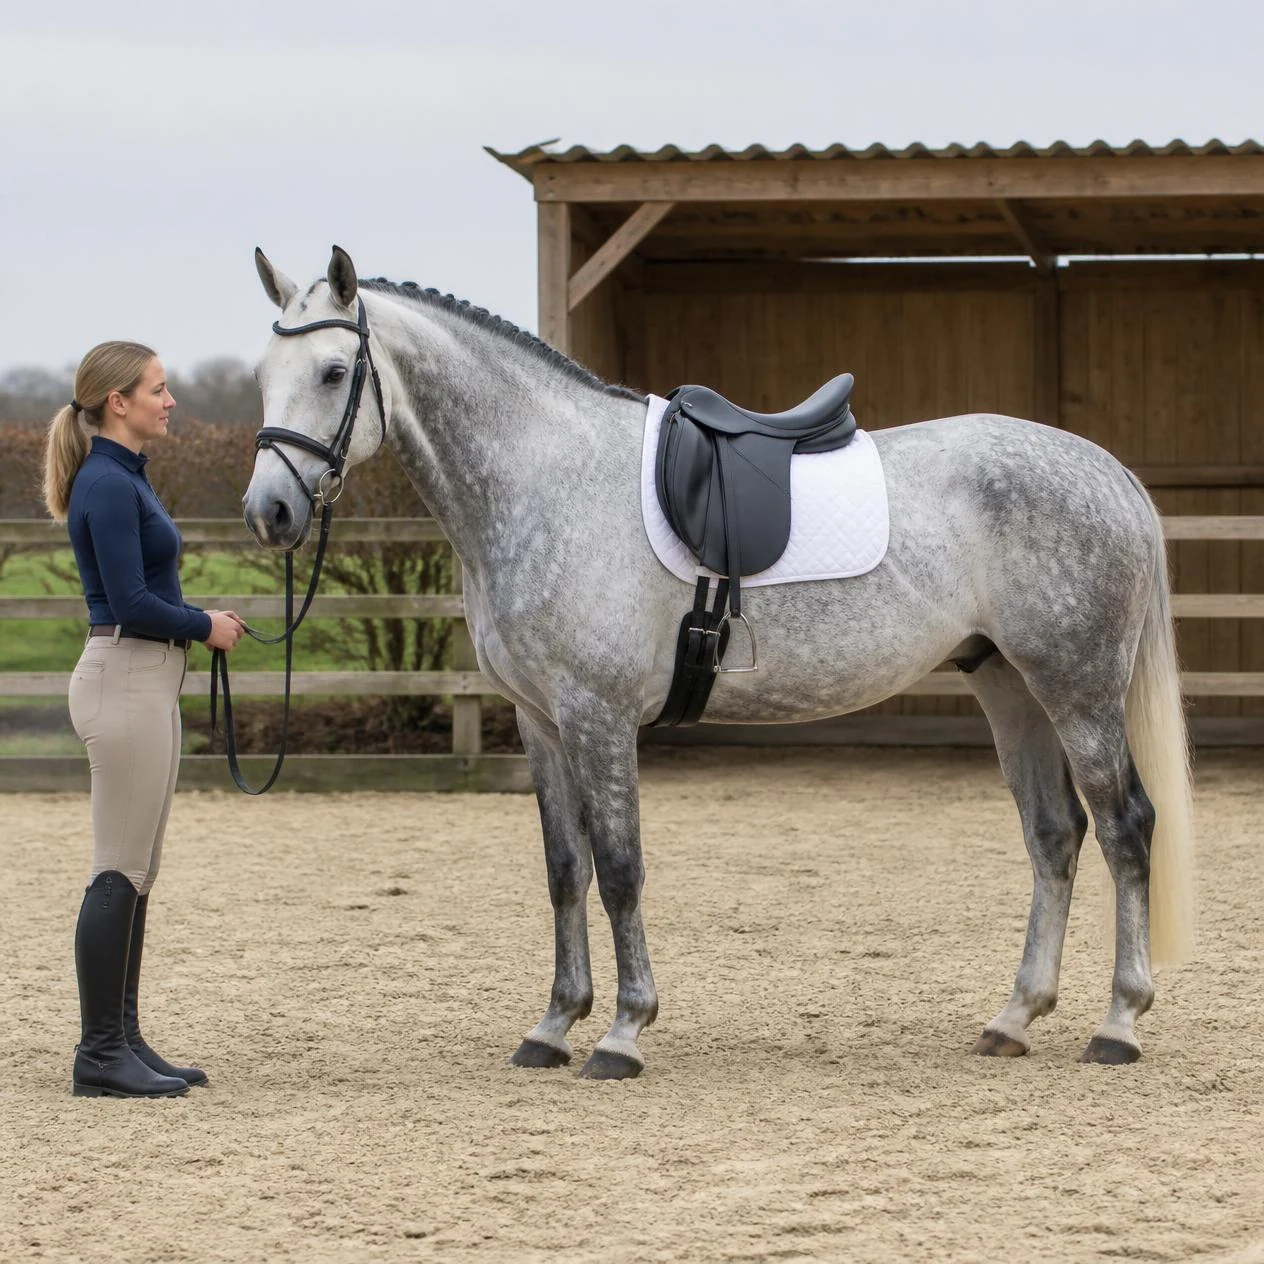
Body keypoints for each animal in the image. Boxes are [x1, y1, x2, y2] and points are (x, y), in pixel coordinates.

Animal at [241, 245, 1194, 1080]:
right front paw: (553, 1026)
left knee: (1126, 827)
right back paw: (1014, 1017)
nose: (269, 512)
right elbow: (565, 870)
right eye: (262, 373)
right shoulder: (542, 721)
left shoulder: (598, 716)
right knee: (1055, 834)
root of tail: (1107, 471)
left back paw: (1118, 1023)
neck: (547, 478)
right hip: (1009, 685)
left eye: (334, 372)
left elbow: (620, 869)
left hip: (1078, 690)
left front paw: (623, 1033)